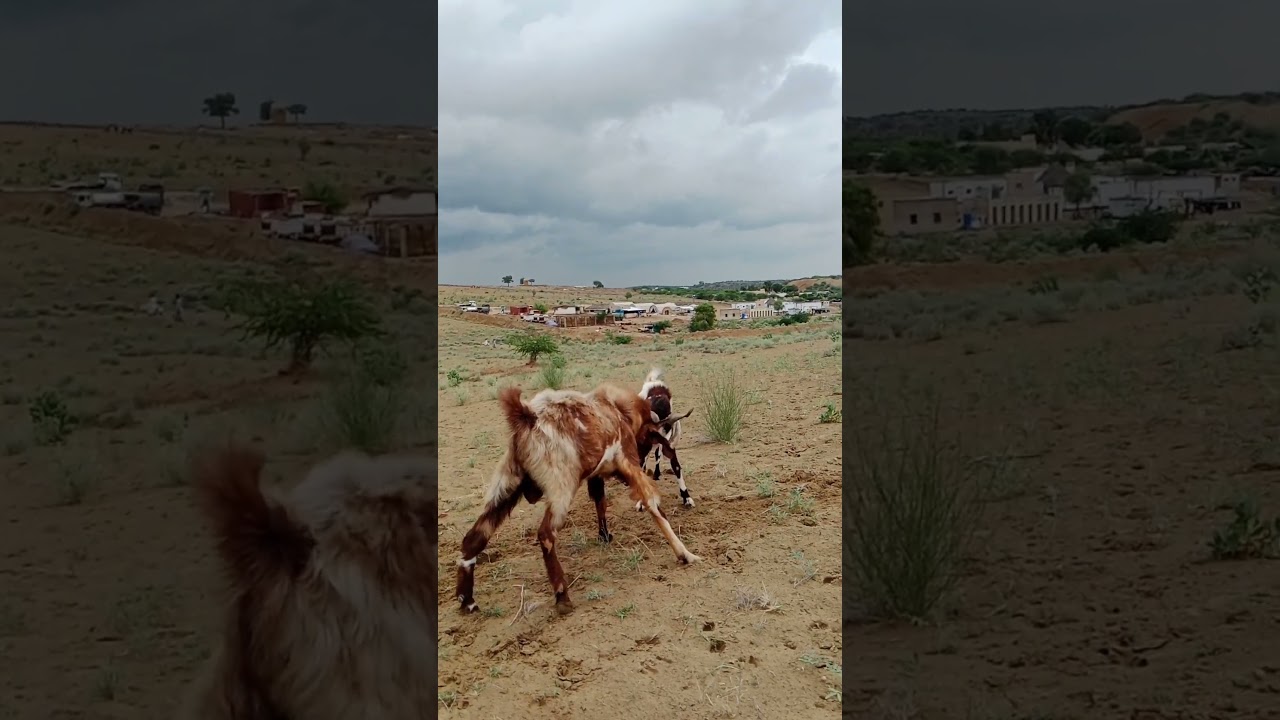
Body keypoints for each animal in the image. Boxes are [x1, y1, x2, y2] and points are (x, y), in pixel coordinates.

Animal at [455, 383, 699, 615]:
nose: (644, 455)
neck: (618, 411)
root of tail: (526, 416)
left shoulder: (596, 475)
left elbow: (600, 502)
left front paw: (605, 536)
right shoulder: (627, 461)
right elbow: (653, 504)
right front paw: (685, 554)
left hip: (506, 487)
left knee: (475, 537)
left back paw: (467, 600)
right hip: (560, 489)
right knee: (545, 534)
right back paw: (562, 596)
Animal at [638, 367, 696, 507]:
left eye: (668, 428)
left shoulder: (668, 443)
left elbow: (676, 468)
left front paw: (686, 497)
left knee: (657, 454)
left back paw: (656, 473)